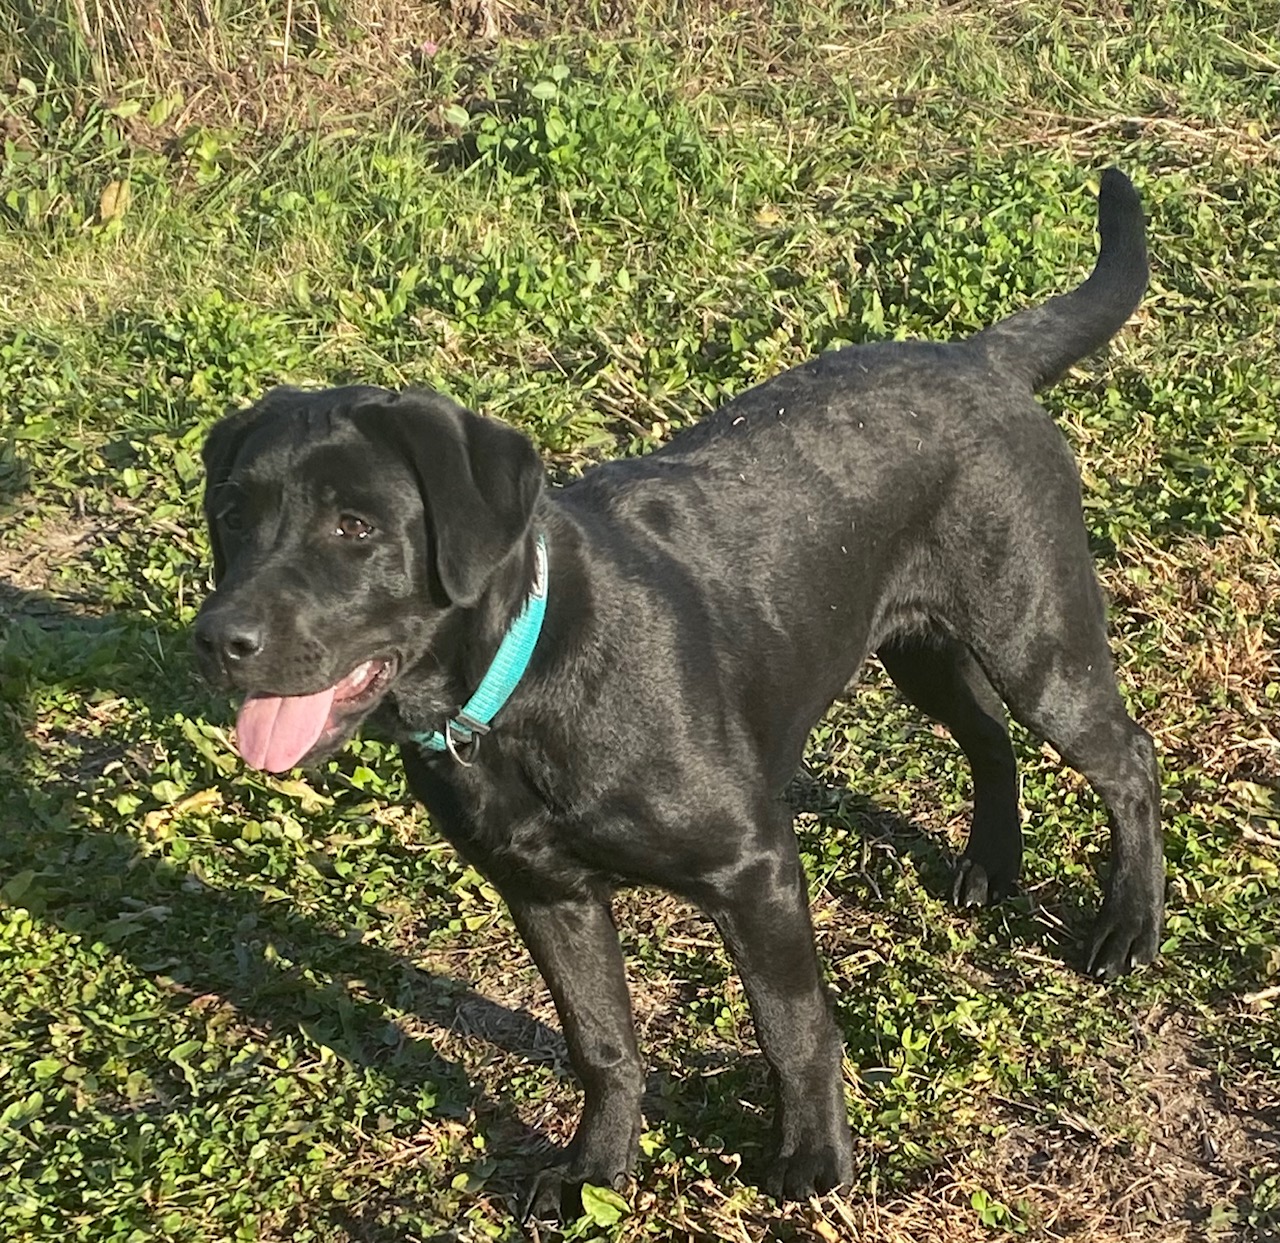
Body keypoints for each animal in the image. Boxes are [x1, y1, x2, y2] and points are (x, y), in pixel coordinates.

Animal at [194, 170, 1167, 1218]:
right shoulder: (546, 892)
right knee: (988, 736)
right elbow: (601, 1041)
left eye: (356, 525)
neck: (524, 681)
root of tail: (981, 356)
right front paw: (596, 1165)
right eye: (231, 513)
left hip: (1036, 640)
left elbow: (793, 1029)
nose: (218, 640)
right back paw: (992, 862)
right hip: (919, 647)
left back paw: (1130, 923)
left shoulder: (755, 870)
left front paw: (814, 1159)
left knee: (1127, 758)